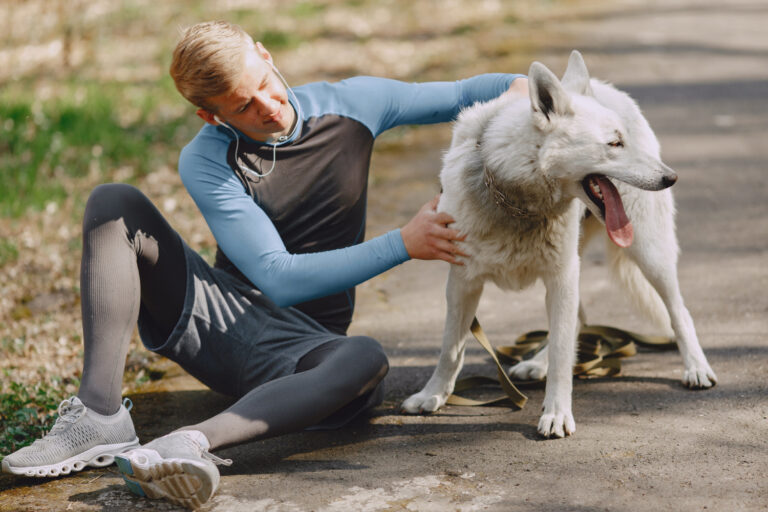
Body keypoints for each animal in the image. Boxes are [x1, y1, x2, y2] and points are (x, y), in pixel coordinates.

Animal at [400, 51, 716, 436]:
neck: (515, 199)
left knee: (678, 311)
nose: (672, 177)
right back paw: (537, 364)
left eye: (624, 140)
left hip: (648, 254)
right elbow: (450, 348)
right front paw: (432, 396)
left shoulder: (560, 278)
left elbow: (564, 355)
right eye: (614, 143)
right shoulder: (463, 283)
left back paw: (696, 367)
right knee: (577, 321)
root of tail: (605, 87)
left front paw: (556, 414)